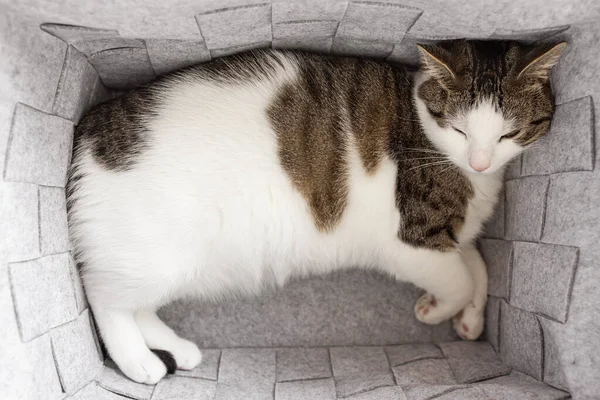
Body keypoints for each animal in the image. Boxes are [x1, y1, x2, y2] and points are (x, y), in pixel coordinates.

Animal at [67, 39, 568, 384]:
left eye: (508, 134)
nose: (480, 161)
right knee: (105, 298)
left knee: (139, 306)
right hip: (155, 256)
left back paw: (176, 349)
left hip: (176, 267)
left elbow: (479, 267)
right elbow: (462, 277)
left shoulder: (452, 238)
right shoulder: (411, 244)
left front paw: (470, 319)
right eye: (461, 130)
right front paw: (439, 309)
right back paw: (138, 362)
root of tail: (87, 133)